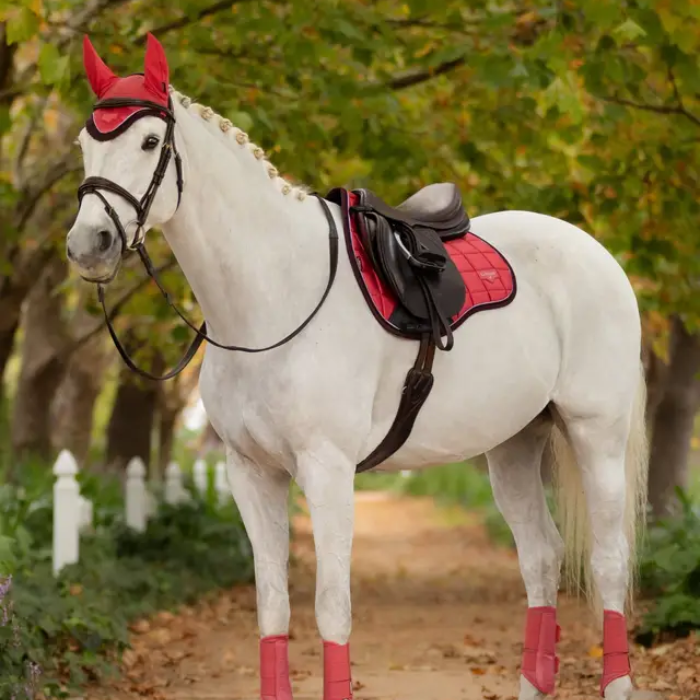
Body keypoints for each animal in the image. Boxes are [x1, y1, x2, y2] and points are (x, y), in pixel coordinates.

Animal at [66, 34, 649, 700]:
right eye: (84, 143)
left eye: (148, 142)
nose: (88, 246)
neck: (275, 295)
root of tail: (597, 254)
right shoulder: (250, 473)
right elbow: (274, 609)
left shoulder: (327, 470)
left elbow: (331, 610)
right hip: (513, 444)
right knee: (542, 558)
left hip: (596, 434)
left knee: (609, 562)